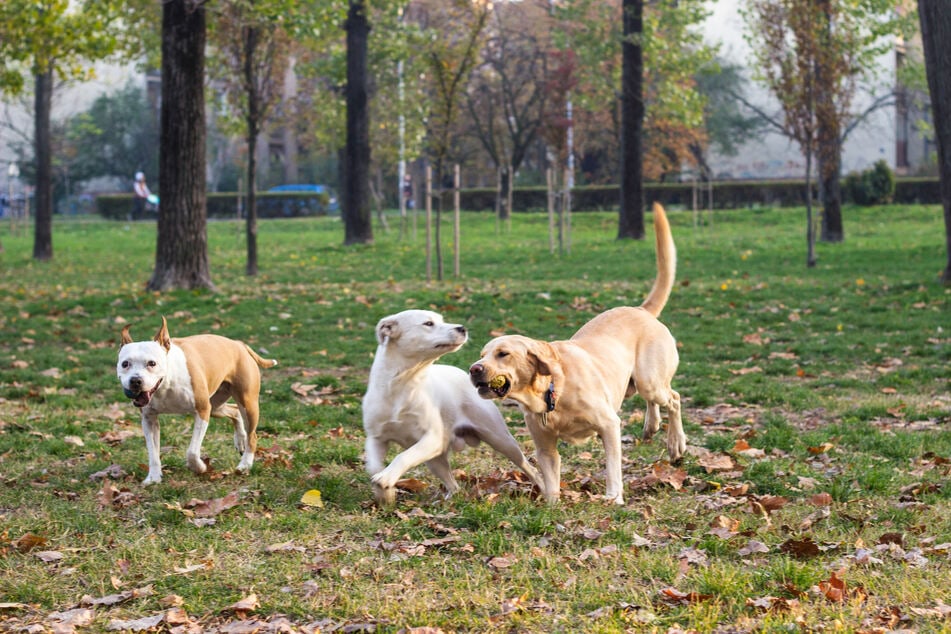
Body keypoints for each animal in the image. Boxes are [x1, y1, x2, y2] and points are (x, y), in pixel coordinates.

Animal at [116, 316, 278, 484]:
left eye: (152, 363)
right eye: (125, 364)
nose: (135, 380)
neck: (165, 384)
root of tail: (239, 344)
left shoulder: (202, 411)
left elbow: (192, 452)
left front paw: (200, 467)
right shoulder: (149, 420)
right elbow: (153, 453)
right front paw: (154, 477)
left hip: (246, 403)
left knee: (252, 435)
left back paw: (245, 464)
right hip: (215, 406)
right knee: (234, 411)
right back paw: (240, 440)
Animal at [362, 308, 544, 506]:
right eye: (428, 323)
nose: (462, 328)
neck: (402, 385)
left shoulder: (433, 438)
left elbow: (402, 456)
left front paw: (385, 479)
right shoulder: (376, 438)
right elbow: (374, 466)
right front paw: (386, 493)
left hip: (501, 440)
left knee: (530, 468)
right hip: (435, 460)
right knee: (453, 485)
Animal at [470, 204, 684, 504]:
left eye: (503, 354)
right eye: (483, 353)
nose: (474, 369)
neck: (551, 391)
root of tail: (641, 310)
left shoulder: (609, 425)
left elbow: (613, 468)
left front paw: (614, 499)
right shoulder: (546, 448)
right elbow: (550, 483)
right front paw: (550, 506)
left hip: (650, 380)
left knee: (673, 398)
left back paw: (676, 445)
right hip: (640, 384)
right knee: (655, 402)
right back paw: (651, 425)